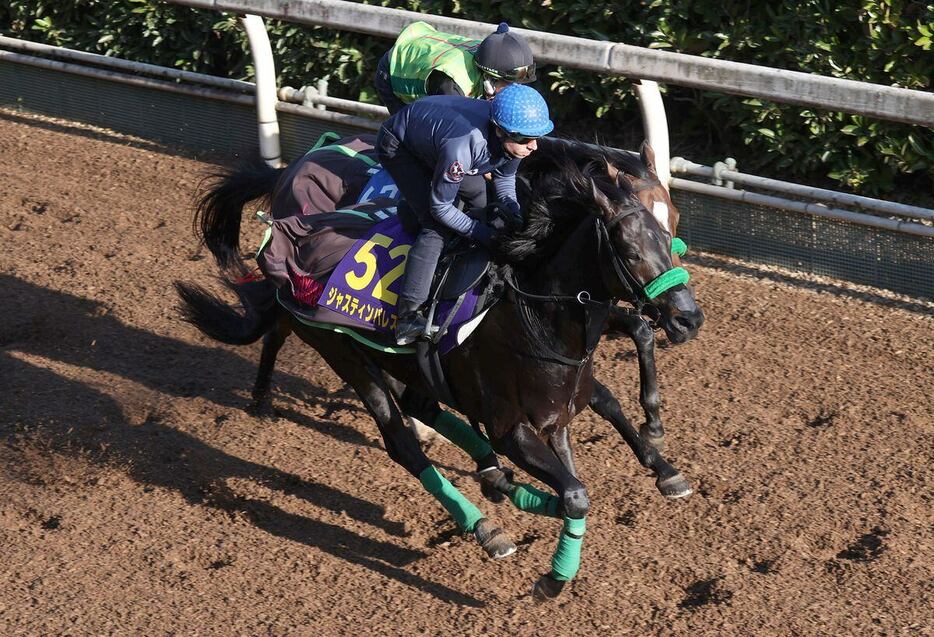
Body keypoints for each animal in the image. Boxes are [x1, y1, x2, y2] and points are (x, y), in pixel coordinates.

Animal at [177, 142, 704, 600]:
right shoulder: (511, 427)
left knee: (417, 403)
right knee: (399, 439)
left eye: (672, 230)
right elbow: (575, 493)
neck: (533, 313)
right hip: (344, 353)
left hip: (397, 361)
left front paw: (661, 463)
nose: (688, 318)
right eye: (629, 250)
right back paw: (484, 524)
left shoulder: (563, 405)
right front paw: (554, 577)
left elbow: (607, 403)